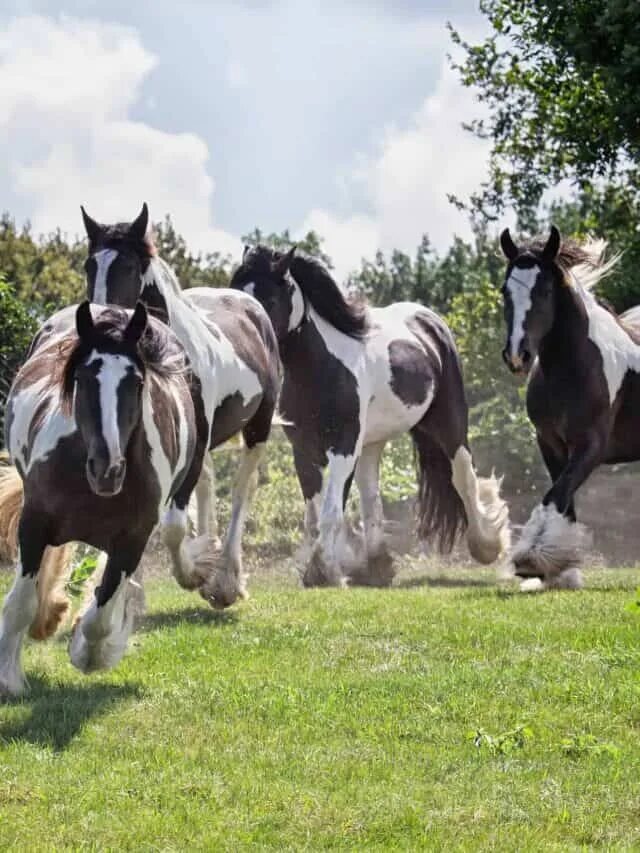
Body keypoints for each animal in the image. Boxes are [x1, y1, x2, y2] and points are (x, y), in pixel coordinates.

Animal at [0, 302, 206, 692]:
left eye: (136, 382)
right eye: (82, 378)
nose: (106, 469)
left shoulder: (131, 541)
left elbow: (102, 615)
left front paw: (89, 654)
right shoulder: (34, 524)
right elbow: (20, 601)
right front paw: (10, 679)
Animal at [80, 206, 280, 604]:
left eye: (128, 266)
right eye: (89, 266)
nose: (99, 323)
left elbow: (173, 526)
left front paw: (197, 573)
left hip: (258, 428)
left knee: (241, 489)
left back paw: (225, 579)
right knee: (209, 483)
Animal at [230, 243, 510, 584]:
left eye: (270, 299)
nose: (249, 335)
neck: (321, 367)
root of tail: (429, 321)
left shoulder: (344, 446)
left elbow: (331, 511)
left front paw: (323, 570)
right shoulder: (304, 450)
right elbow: (316, 514)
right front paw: (327, 566)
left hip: (449, 423)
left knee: (463, 477)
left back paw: (486, 546)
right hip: (372, 443)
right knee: (370, 496)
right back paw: (377, 566)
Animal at [500, 223, 640, 588]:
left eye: (546, 290)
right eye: (505, 291)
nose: (517, 355)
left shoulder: (591, 446)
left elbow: (555, 494)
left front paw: (532, 559)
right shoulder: (551, 444)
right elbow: (564, 497)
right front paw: (563, 570)